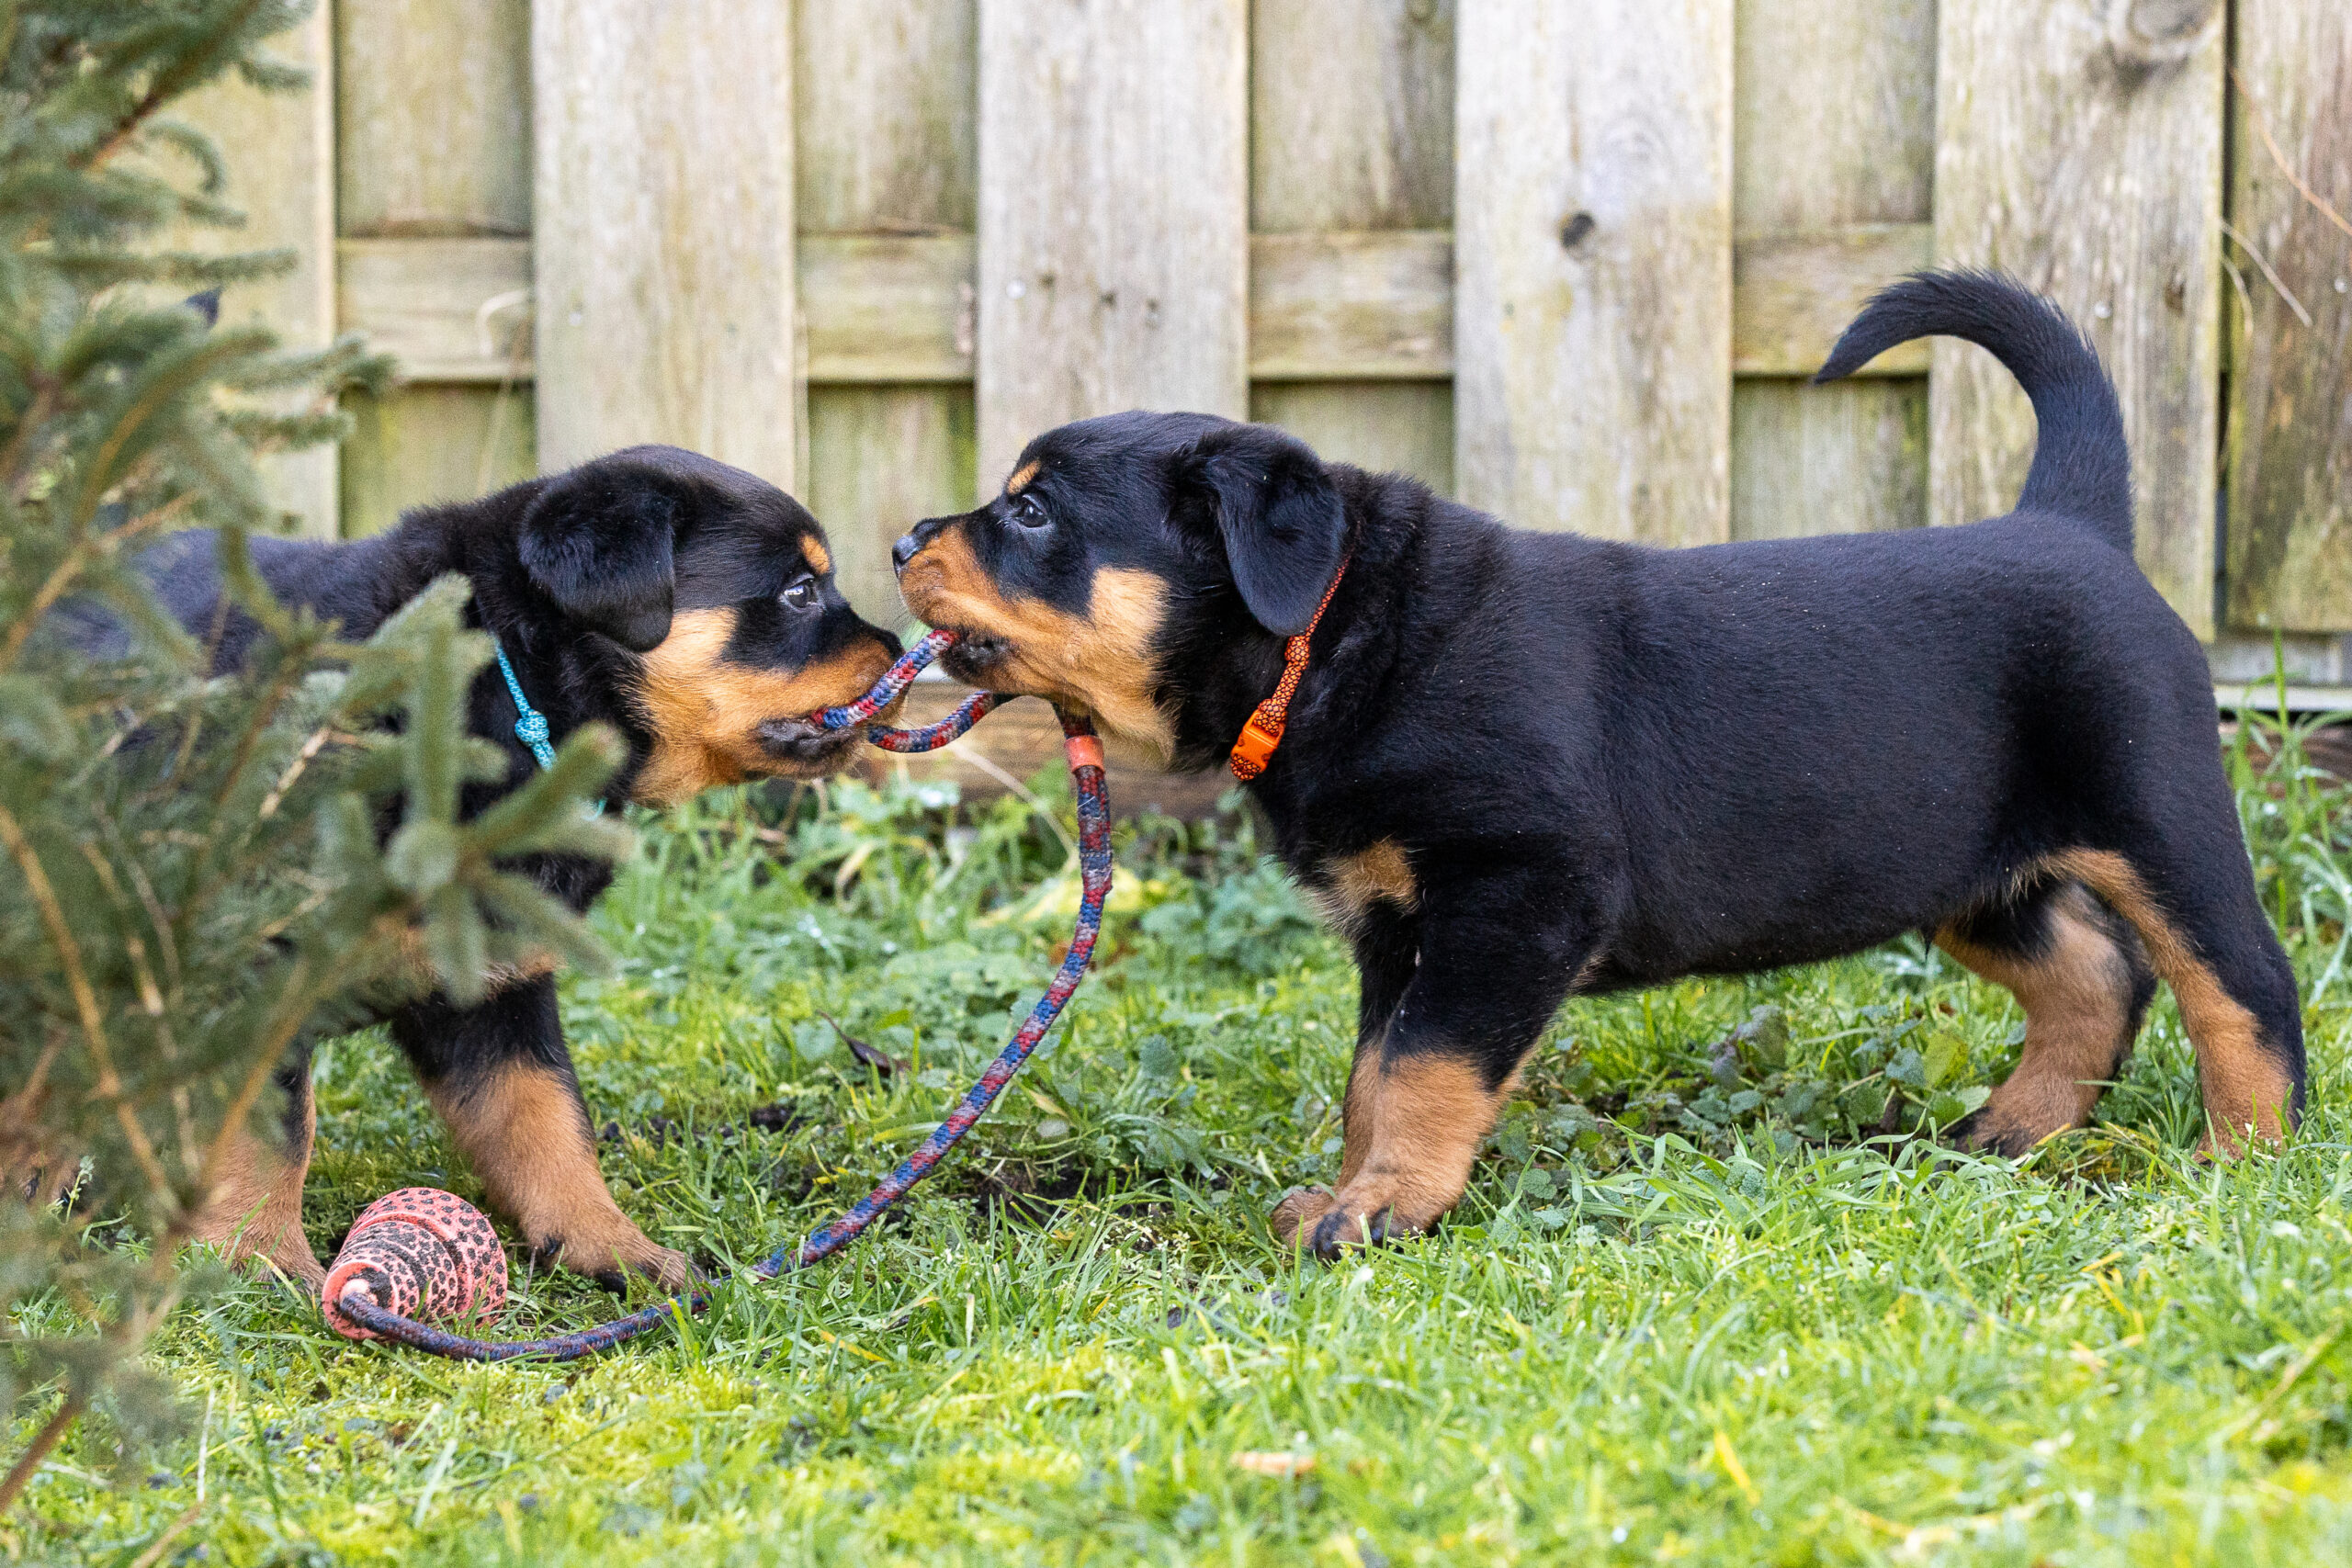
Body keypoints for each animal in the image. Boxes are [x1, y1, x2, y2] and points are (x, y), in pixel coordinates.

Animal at [49, 445, 902, 1289]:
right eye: (798, 591)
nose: (900, 653)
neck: (501, 690)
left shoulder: (495, 980)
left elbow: (544, 1119)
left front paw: (614, 1246)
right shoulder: (258, 962)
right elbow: (272, 1130)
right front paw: (262, 1258)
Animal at [893, 270, 2304, 1258]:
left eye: (1032, 510)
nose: (904, 537)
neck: (1338, 634)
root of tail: (2073, 524)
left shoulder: (1518, 891)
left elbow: (1425, 1069)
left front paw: (1381, 1211)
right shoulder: (1399, 925)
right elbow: (1372, 1074)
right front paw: (1350, 1192)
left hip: (2157, 814)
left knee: (2239, 983)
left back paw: (2247, 1162)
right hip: (1958, 860)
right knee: (2094, 974)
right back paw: (2011, 1131)